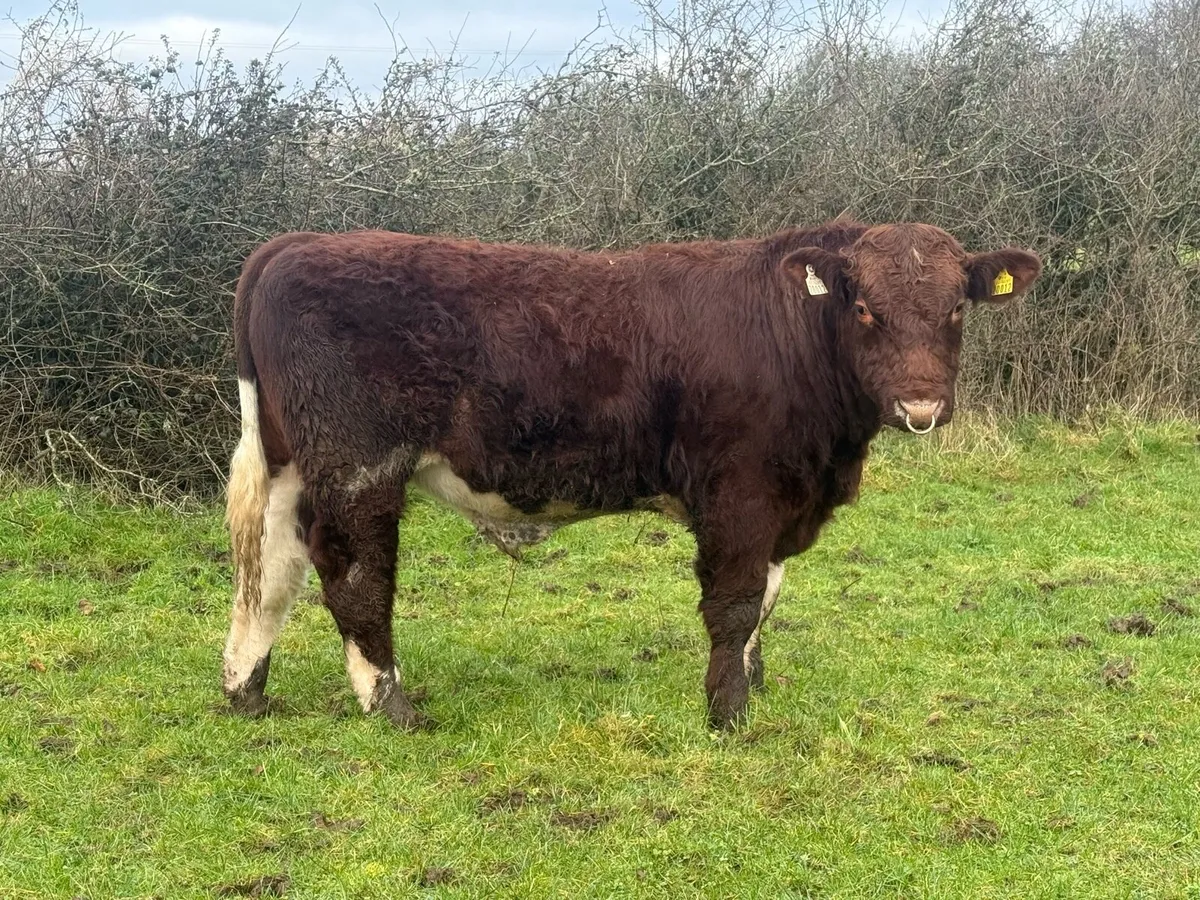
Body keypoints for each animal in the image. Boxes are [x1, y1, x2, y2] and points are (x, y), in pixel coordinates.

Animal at [220, 220, 1041, 731]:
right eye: (866, 308)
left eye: (956, 310)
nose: (921, 404)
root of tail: (294, 244)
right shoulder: (739, 493)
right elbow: (736, 603)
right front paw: (728, 713)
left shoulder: (782, 502)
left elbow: (768, 599)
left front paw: (754, 684)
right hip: (358, 466)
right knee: (353, 576)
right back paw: (392, 707)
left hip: (292, 464)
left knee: (270, 569)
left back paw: (246, 691)